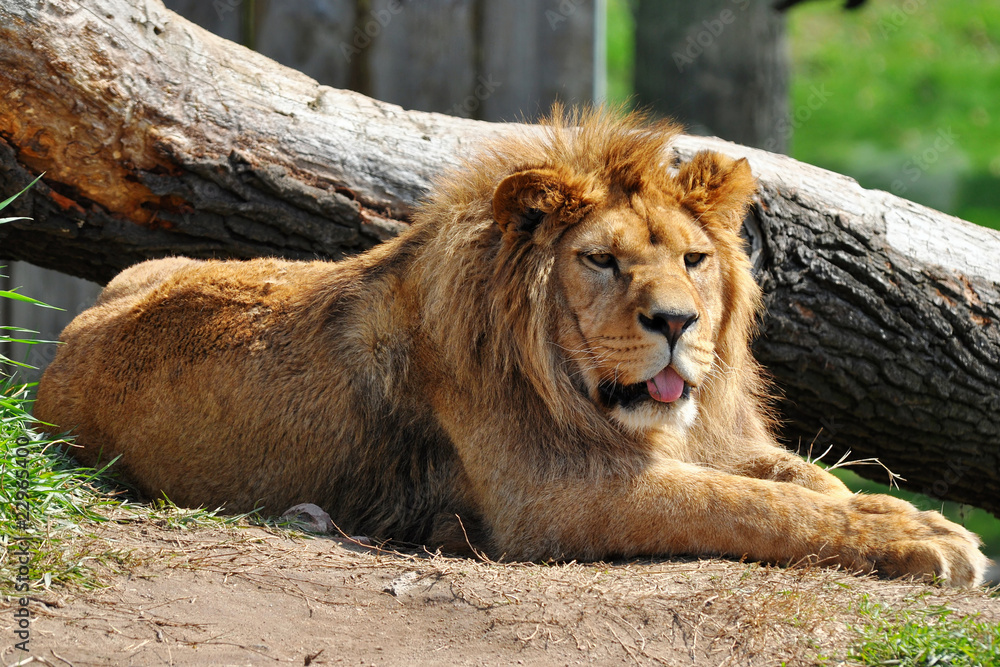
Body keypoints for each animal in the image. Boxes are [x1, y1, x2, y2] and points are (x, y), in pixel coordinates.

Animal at [34, 109, 987, 586]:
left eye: (693, 259)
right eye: (601, 261)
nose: (676, 323)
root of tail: (59, 355)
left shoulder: (710, 439)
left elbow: (806, 481)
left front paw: (907, 518)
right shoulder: (558, 499)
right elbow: (746, 506)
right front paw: (929, 538)